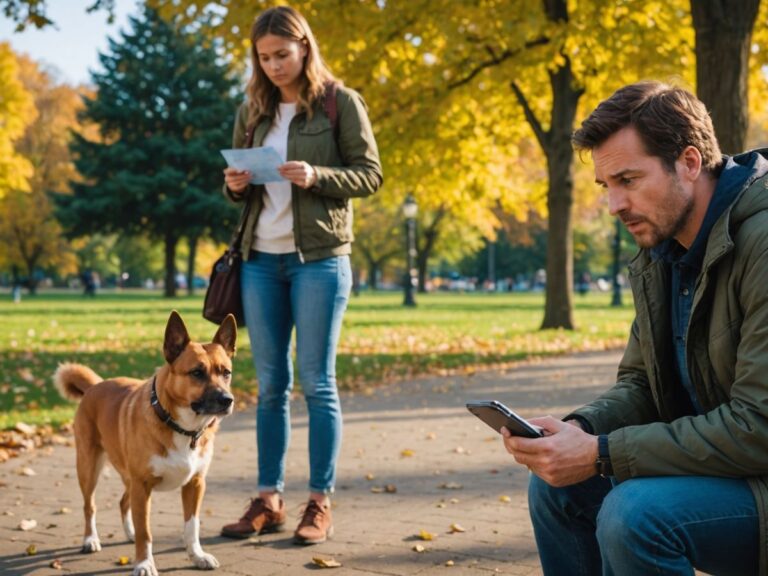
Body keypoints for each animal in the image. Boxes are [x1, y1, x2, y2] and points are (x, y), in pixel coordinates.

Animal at [55, 312, 236, 576]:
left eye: (226, 373)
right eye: (196, 373)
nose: (227, 400)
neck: (182, 428)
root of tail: (95, 386)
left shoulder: (195, 484)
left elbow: (192, 527)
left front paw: (197, 556)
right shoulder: (142, 486)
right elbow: (146, 532)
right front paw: (143, 563)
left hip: (128, 478)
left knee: (123, 502)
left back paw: (128, 533)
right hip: (89, 468)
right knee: (90, 506)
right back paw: (90, 539)